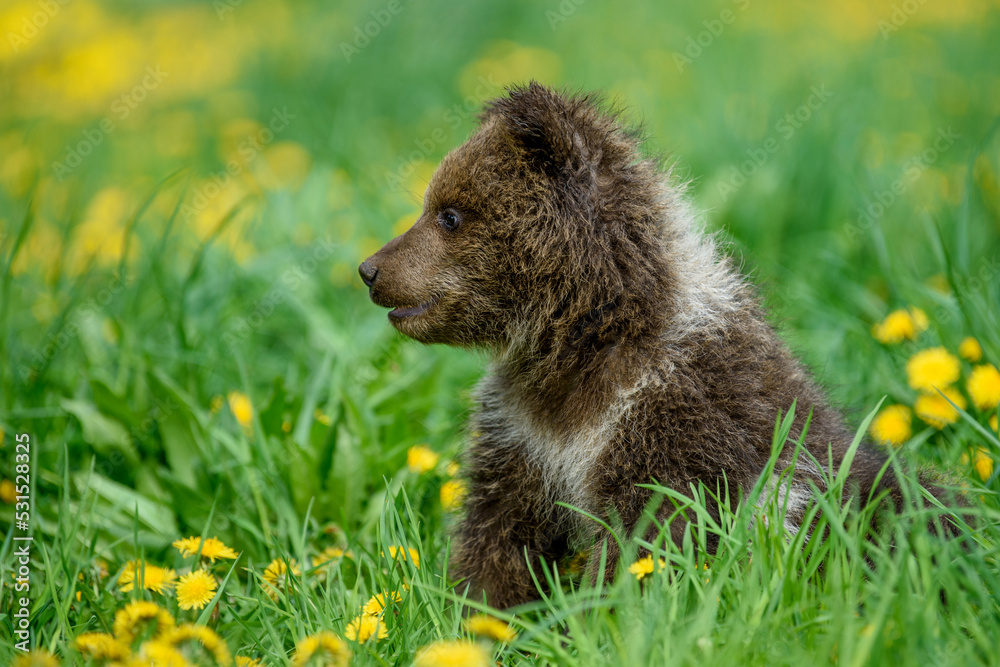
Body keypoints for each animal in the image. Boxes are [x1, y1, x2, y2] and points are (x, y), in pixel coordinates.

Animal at [358, 82, 960, 609]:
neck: (585, 340)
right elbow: (500, 530)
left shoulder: (673, 419)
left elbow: (649, 534)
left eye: (450, 213)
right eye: (433, 203)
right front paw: (476, 615)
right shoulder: (523, 430)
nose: (370, 269)